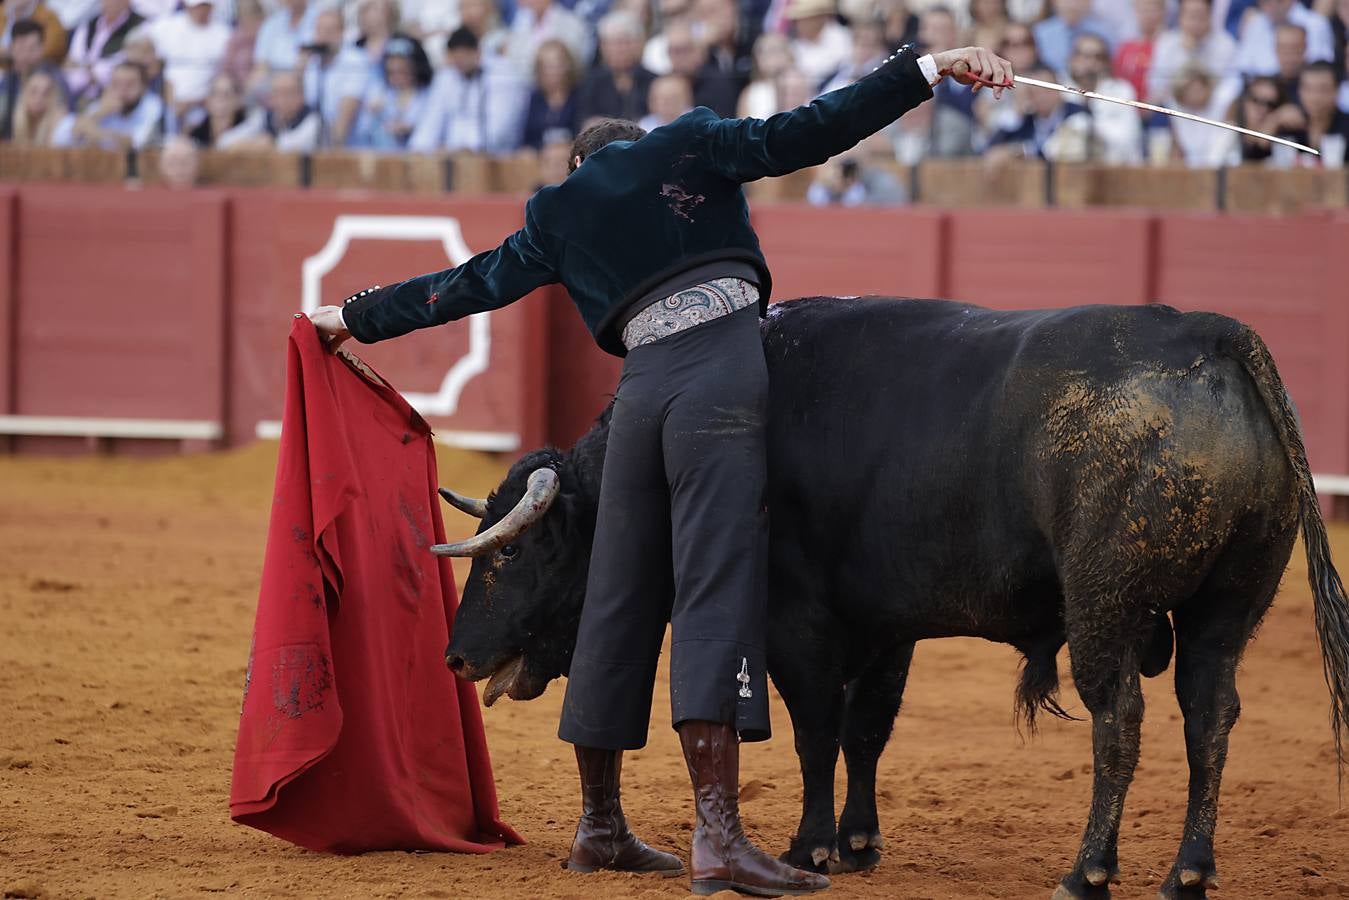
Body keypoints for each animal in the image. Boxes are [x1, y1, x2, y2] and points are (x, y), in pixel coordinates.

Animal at [431, 296, 1349, 900]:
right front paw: (858, 842)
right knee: (1209, 715)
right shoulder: (885, 626)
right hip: (1225, 609)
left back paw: (1086, 871)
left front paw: (808, 849)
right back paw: (1188, 871)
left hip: (1104, 606)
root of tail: (1209, 334)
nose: (456, 657)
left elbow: (814, 731)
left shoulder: (793, 621)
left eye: (510, 552)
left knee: (1117, 718)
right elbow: (867, 729)